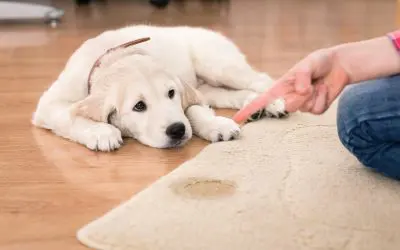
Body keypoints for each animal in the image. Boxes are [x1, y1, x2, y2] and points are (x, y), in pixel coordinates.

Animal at [32, 24, 288, 151]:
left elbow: (193, 110)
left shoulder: (187, 92)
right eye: (139, 106)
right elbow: (70, 116)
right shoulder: (49, 104)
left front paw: (215, 125)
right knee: (228, 94)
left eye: (171, 93)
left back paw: (273, 103)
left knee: (261, 79)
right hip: (208, 85)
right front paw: (101, 132)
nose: (177, 130)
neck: (115, 57)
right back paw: (254, 105)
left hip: (218, 65)